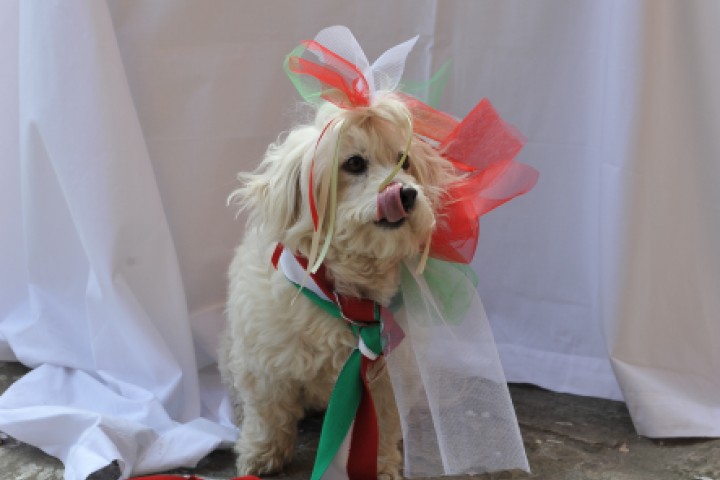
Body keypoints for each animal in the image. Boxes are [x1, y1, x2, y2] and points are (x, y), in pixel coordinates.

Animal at [217, 92, 458, 478]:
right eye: (355, 163)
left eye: (403, 161)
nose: (405, 194)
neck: (346, 292)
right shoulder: (266, 366)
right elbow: (268, 415)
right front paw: (261, 454)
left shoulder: (384, 378)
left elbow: (382, 424)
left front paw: (378, 465)